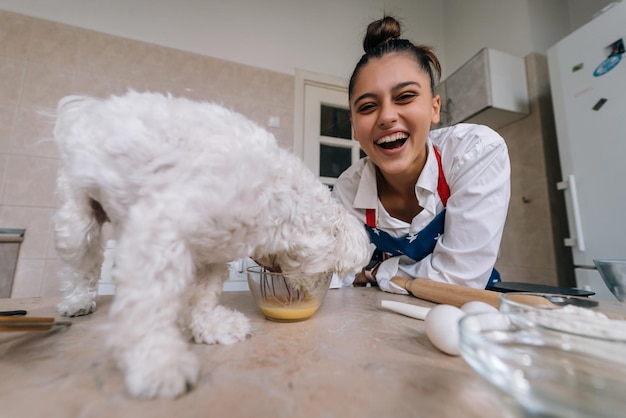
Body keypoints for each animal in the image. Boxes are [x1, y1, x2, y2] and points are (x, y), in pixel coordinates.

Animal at [52, 90, 370, 398]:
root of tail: (90, 109)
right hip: (77, 222)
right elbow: (149, 304)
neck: (275, 196)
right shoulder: (159, 232)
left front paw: (210, 326)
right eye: (327, 273)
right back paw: (78, 301)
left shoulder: (211, 252)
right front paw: (157, 360)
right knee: (82, 265)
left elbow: (201, 296)